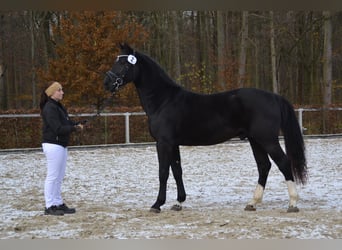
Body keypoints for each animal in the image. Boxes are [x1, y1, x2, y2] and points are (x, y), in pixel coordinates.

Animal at [103, 43, 308, 213]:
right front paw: (178, 202)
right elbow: (177, 171)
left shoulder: (163, 143)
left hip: (267, 140)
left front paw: (157, 204)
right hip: (255, 140)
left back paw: (292, 203)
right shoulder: (173, 144)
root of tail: (274, 97)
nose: (107, 82)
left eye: (124, 64)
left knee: (283, 163)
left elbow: (163, 173)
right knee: (264, 166)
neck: (164, 101)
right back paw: (252, 203)